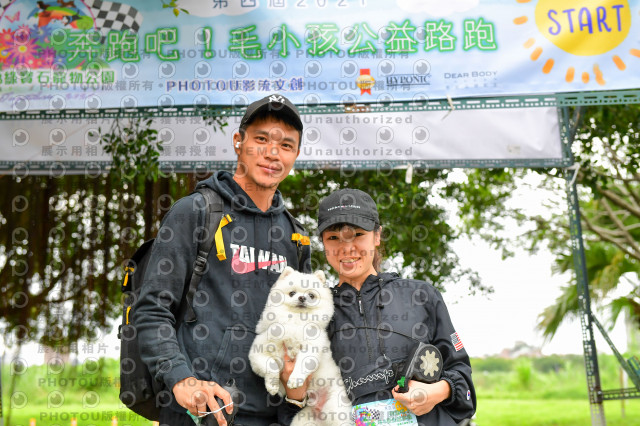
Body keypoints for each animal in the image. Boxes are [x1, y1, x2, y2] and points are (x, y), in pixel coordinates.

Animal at [249, 268, 350, 424]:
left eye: (311, 295)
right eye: (292, 293)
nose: (302, 298)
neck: (296, 321)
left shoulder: (311, 348)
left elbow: (303, 363)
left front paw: (295, 379)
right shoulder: (258, 351)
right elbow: (270, 365)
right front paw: (272, 385)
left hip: (336, 408)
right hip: (303, 419)